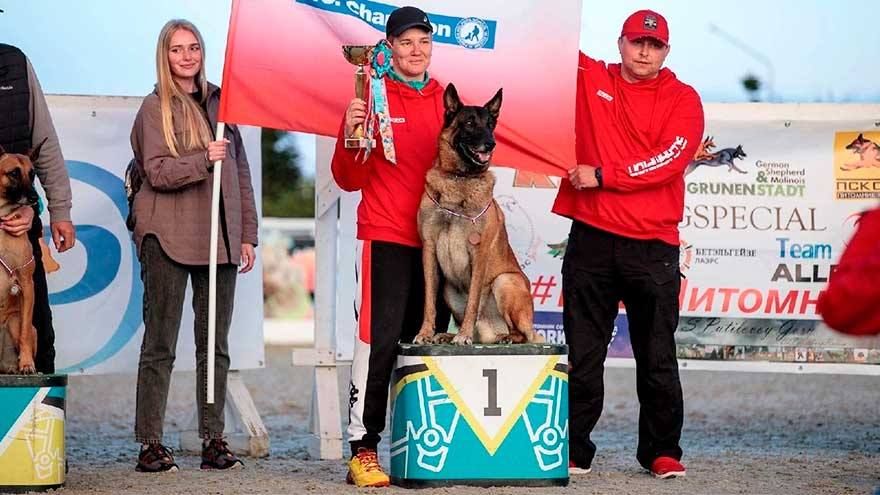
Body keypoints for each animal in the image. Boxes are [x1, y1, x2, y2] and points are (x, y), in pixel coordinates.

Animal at [414, 85, 544, 346]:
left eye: (491, 125)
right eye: (470, 123)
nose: (491, 144)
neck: (459, 179)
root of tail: (490, 330)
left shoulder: (479, 253)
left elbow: (473, 301)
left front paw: (462, 336)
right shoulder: (429, 249)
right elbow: (429, 301)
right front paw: (425, 332)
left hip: (505, 282)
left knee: (523, 334)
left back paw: (505, 336)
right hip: (449, 289)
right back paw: (447, 334)